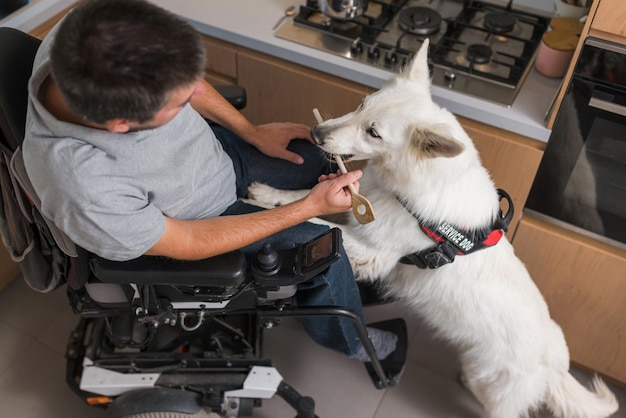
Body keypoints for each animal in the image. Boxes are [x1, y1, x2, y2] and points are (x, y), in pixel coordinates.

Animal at [247, 40, 616, 418]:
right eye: (362, 105)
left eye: (373, 132)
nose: (315, 133)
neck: (413, 185)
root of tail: (557, 362)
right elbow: (304, 198)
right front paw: (271, 197)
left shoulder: (373, 254)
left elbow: (316, 223)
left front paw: (259, 213)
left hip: (497, 390)